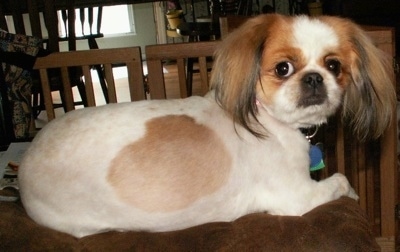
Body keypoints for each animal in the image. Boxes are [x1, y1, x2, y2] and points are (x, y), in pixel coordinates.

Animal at [18, 14, 394, 238]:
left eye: (334, 66)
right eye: (283, 68)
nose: (315, 78)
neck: (267, 120)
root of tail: (23, 168)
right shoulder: (297, 197)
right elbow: (341, 180)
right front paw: (352, 192)